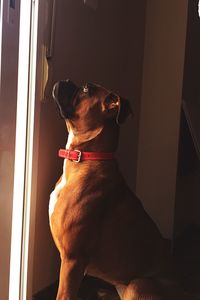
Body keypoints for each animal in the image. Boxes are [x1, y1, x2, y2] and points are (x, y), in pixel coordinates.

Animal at [48, 79, 184, 300]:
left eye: (85, 89)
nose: (66, 80)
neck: (86, 158)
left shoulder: (72, 260)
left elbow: (64, 295)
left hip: (137, 285)